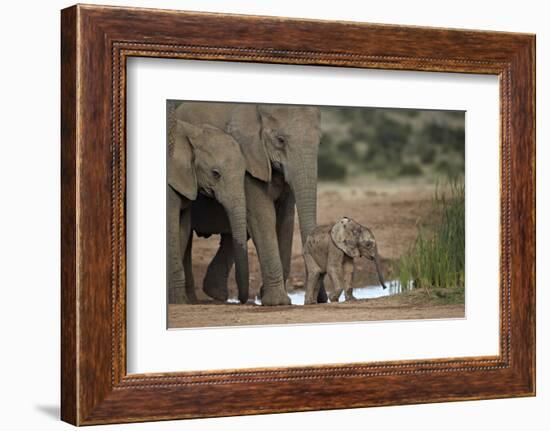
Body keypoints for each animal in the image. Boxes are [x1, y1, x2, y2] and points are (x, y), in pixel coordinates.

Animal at [166, 113, 248, 306]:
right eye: (215, 174)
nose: (242, 300)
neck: (193, 132)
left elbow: (182, 229)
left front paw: (178, 301)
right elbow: (171, 228)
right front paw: (179, 302)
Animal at [177, 101, 326, 308]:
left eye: (319, 142)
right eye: (280, 140)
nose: (320, 300)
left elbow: (286, 219)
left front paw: (269, 297)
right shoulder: (250, 158)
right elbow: (263, 216)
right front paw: (277, 302)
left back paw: (213, 293)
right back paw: (191, 300)